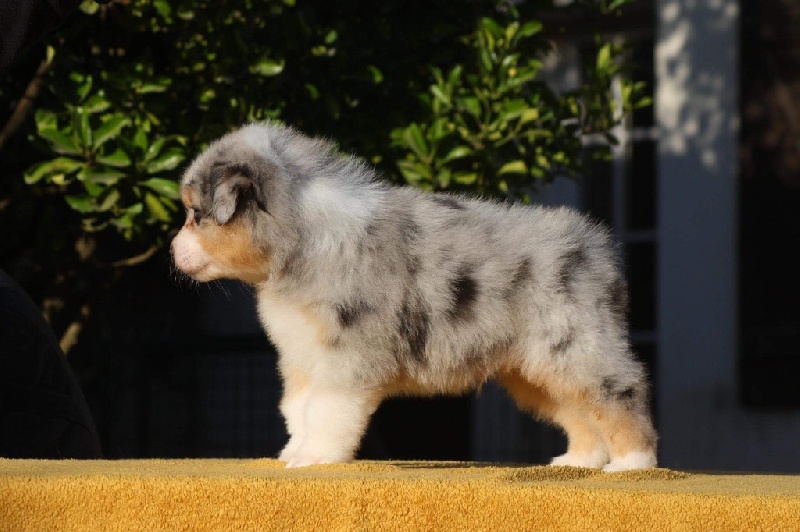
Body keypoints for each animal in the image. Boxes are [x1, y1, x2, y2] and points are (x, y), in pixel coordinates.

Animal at [170, 121, 658, 471]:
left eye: (196, 214)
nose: (173, 251)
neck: (301, 239)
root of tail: (596, 247)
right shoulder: (303, 354)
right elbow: (297, 408)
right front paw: (294, 451)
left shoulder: (347, 354)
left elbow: (327, 410)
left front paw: (315, 458)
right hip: (537, 365)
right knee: (577, 408)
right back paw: (580, 460)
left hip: (576, 343)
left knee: (620, 391)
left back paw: (633, 464)